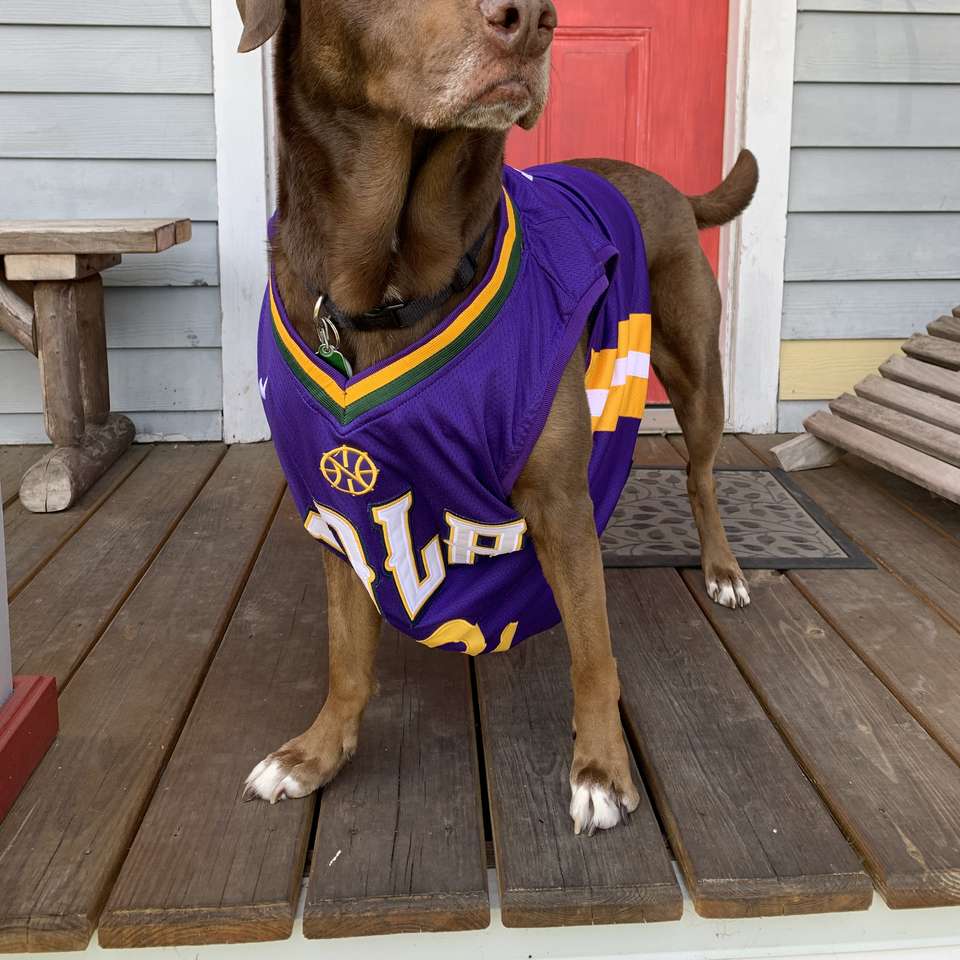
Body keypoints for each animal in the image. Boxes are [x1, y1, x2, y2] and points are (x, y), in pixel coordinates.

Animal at [238, 0, 756, 832]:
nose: (534, 22)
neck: (388, 283)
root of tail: (670, 187)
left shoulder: (557, 499)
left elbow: (593, 650)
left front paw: (601, 768)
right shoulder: (336, 503)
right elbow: (347, 656)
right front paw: (315, 752)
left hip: (696, 372)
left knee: (702, 476)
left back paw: (724, 569)